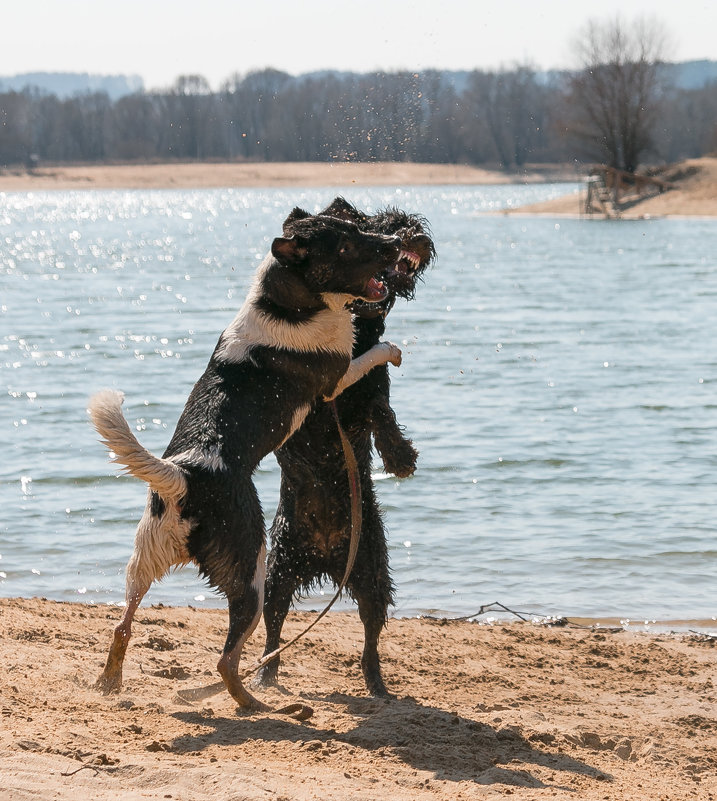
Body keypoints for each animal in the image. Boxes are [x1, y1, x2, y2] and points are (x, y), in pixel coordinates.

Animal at [89, 208, 402, 712]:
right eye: (347, 244)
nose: (395, 242)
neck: (284, 303)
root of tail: (185, 477)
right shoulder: (335, 377)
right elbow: (367, 354)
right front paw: (390, 350)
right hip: (251, 574)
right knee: (226, 660)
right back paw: (257, 704)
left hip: (143, 560)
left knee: (122, 626)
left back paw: (110, 684)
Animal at [258, 198, 434, 692]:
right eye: (376, 223)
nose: (411, 235)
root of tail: (324, 557)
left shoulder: (371, 388)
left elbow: (380, 412)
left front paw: (400, 457)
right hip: (279, 571)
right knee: (273, 628)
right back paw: (266, 675)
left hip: (372, 573)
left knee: (371, 637)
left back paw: (376, 684)